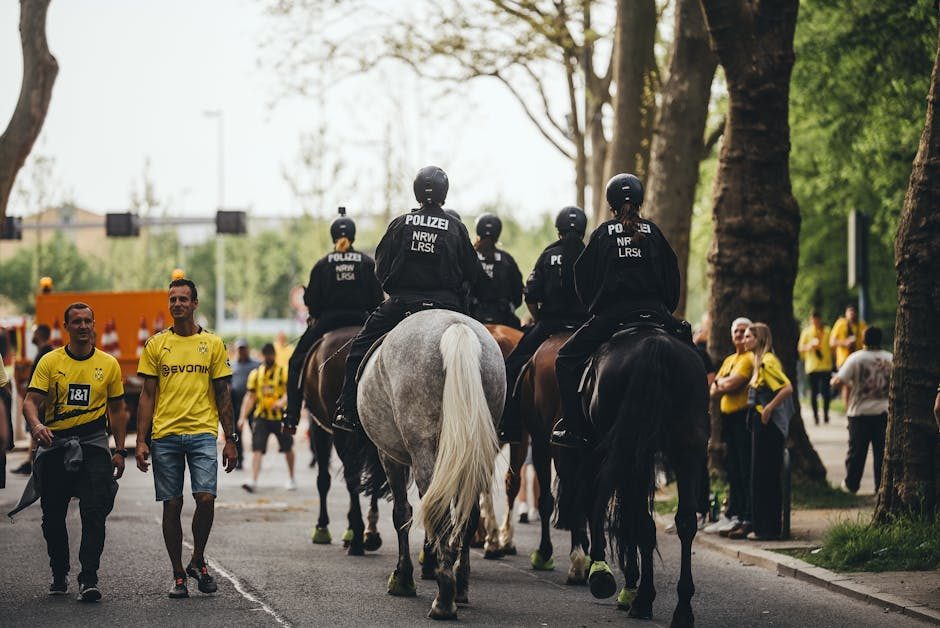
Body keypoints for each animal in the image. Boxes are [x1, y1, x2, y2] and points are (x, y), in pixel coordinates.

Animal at [302, 326, 382, 555]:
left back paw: (357, 538)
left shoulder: (318, 428)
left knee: (351, 476)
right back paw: (369, 534)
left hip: (341, 432)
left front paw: (322, 528)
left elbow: (323, 479)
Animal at [358, 309, 504, 620]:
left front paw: (403, 578)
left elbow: (402, 513)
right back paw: (459, 585)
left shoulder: (388, 455)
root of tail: (456, 328)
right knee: (466, 515)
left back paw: (444, 599)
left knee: (439, 513)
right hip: (472, 452)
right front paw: (428, 561)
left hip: (423, 447)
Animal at [568, 327, 707, 628]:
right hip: (686, 451)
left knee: (638, 520)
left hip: (628, 452)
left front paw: (610, 575)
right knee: (685, 522)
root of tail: (655, 344)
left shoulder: (596, 452)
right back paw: (682, 608)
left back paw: (637, 596)